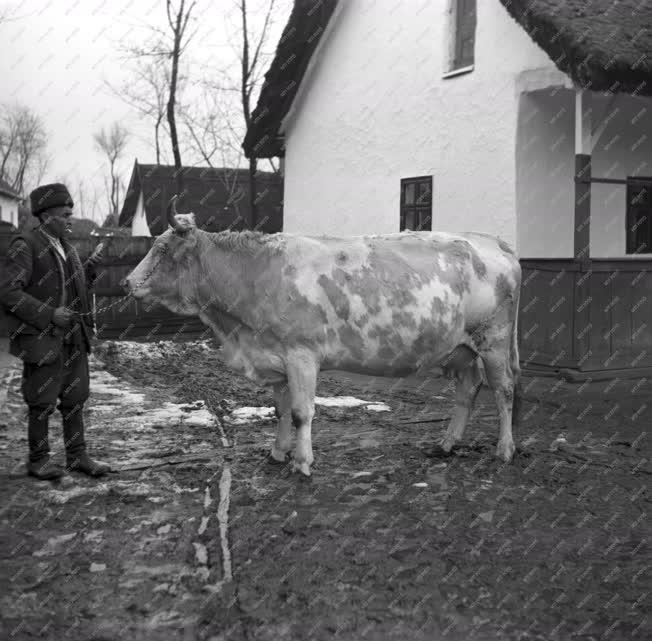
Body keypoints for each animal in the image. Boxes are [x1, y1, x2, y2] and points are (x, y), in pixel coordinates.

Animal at [125, 195, 524, 476]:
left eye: (162, 249)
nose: (127, 282)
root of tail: (491, 241)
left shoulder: (301, 355)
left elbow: (302, 412)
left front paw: (302, 462)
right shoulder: (276, 358)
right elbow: (281, 410)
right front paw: (277, 452)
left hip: (494, 340)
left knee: (503, 390)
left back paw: (504, 450)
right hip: (460, 348)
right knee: (468, 389)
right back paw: (446, 444)